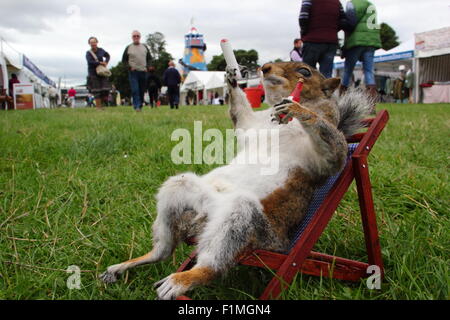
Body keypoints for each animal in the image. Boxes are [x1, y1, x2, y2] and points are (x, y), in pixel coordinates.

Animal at [99, 61, 372, 298]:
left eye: (305, 71)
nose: (264, 68)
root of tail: (202, 221)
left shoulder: (322, 158)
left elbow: (335, 150)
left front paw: (297, 109)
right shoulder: (251, 126)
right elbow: (241, 115)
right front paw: (231, 78)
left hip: (245, 220)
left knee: (214, 263)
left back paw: (182, 280)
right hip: (183, 191)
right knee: (164, 250)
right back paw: (128, 265)